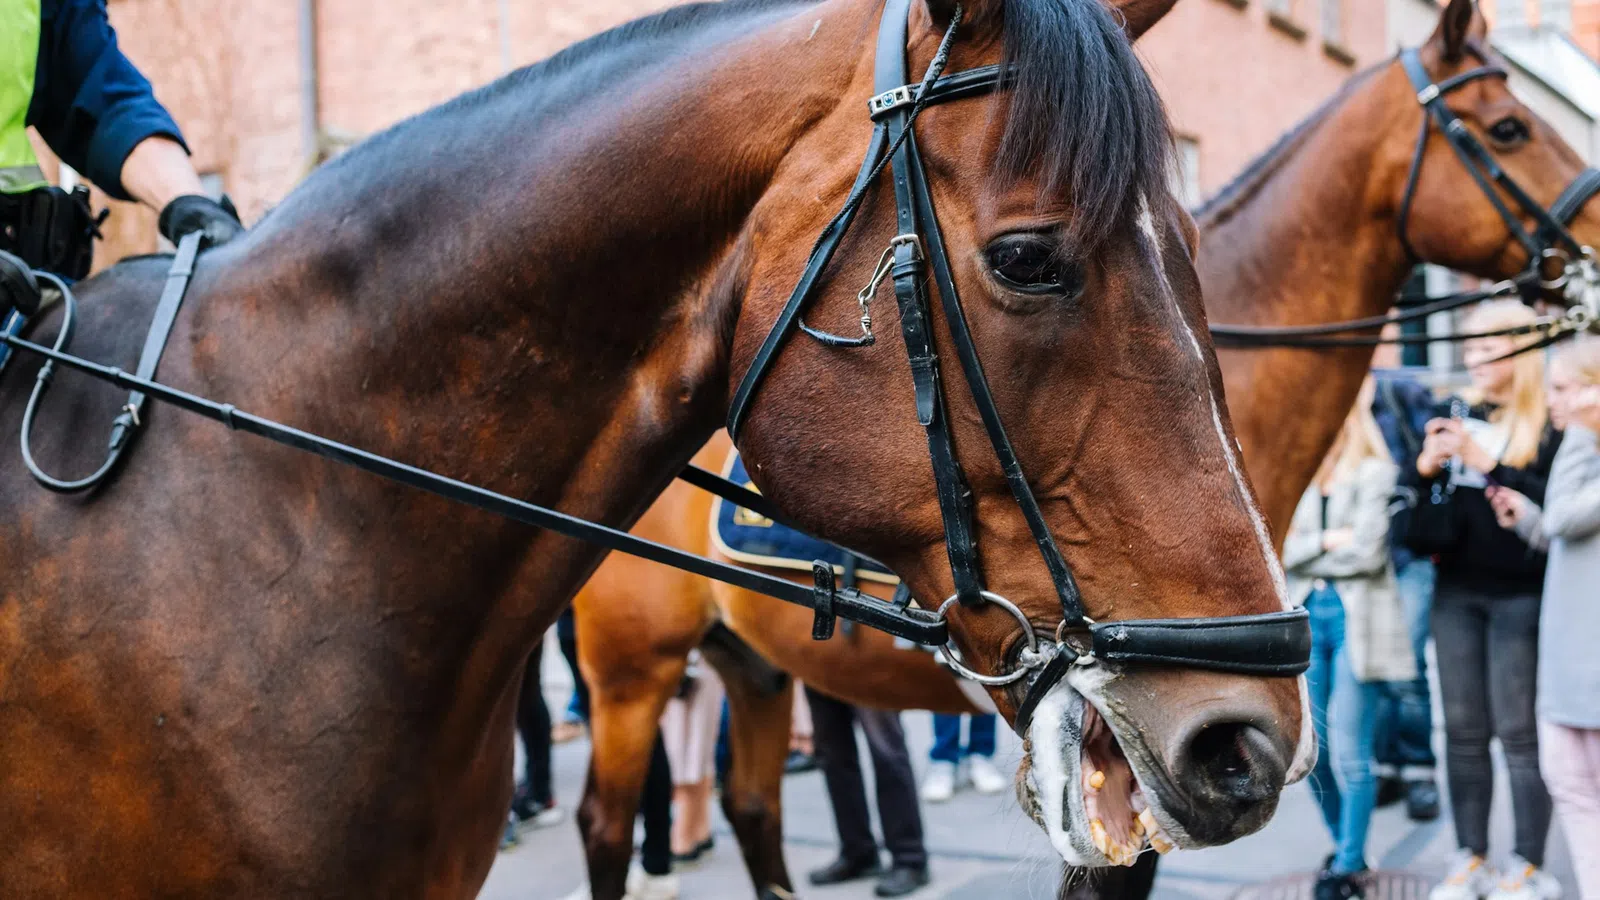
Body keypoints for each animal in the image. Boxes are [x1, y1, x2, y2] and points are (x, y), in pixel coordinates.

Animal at [565, 0, 1599, 895]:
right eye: (1509, 128)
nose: (1597, 243)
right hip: (632, 674)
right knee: (605, 824)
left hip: (749, 666)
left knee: (751, 805)